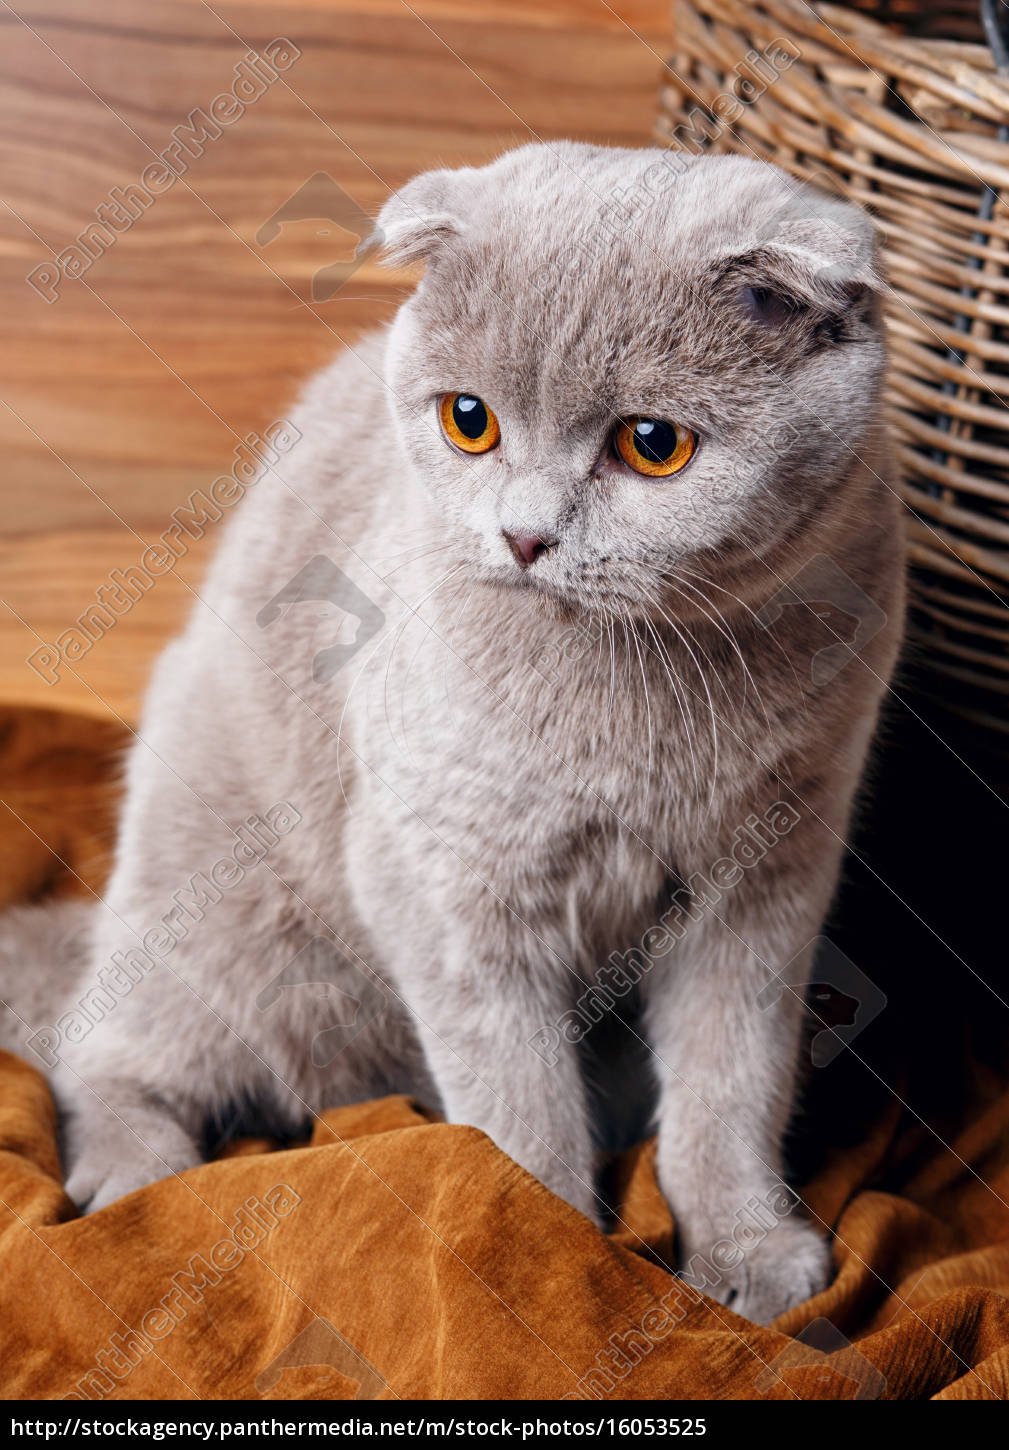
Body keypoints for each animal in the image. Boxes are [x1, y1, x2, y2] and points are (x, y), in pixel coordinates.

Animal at [0, 147, 898, 1328]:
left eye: (653, 445)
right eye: (469, 420)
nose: (523, 535)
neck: (647, 690)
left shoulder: (766, 879)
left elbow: (730, 1083)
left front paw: (747, 1248)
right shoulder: (445, 884)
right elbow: (518, 1109)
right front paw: (554, 1254)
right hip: (223, 915)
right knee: (95, 1049)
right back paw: (139, 1179)